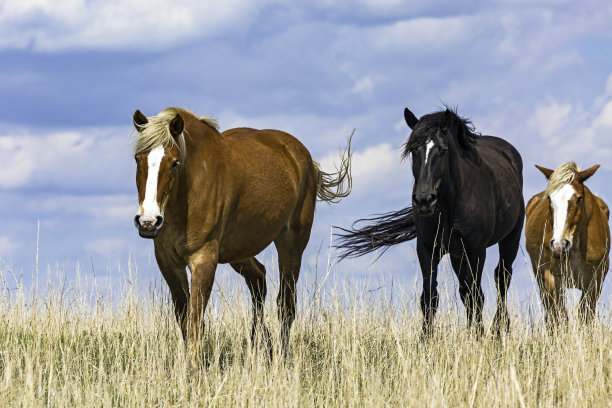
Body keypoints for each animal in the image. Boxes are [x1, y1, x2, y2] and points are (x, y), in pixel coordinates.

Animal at [133, 107, 354, 354]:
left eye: (174, 162)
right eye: (138, 159)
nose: (149, 222)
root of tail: (303, 156)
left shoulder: (204, 258)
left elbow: (195, 321)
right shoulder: (168, 261)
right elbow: (184, 320)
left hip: (292, 243)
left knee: (286, 304)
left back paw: (281, 354)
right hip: (239, 250)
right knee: (258, 279)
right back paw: (262, 344)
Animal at [338, 107, 524, 334]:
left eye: (443, 150)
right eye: (413, 151)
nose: (424, 199)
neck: (450, 206)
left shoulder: (476, 249)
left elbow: (476, 295)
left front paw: (478, 336)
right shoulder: (428, 248)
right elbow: (430, 297)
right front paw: (425, 338)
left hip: (510, 239)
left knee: (501, 279)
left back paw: (499, 329)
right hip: (457, 255)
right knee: (467, 291)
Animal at [524, 163, 608, 326]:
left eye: (579, 198)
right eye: (549, 198)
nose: (559, 245)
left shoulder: (595, 281)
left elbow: (585, 316)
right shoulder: (551, 279)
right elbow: (559, 317)